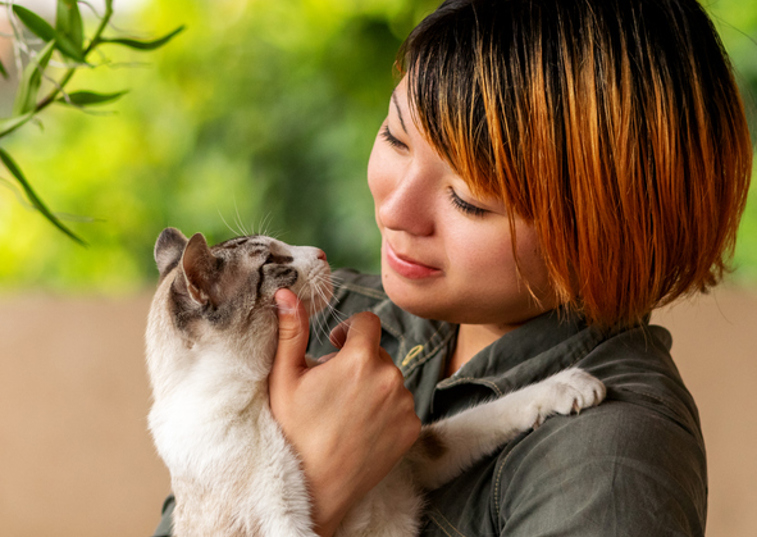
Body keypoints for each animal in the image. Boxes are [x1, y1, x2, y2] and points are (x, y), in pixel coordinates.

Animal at [145, 228, 604, 536]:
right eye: (276, 262)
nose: (320, 252)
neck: (258, 397)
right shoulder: (283, 523)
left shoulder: (415, 457)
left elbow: (486, 414)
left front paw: (574, 386)